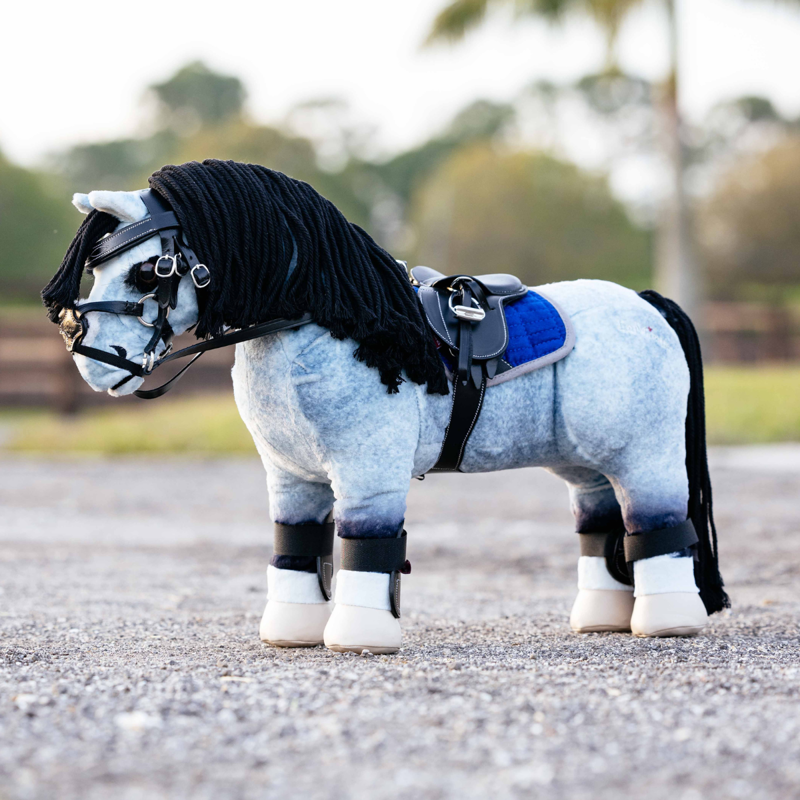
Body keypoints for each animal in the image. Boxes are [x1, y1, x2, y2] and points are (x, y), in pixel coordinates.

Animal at [42, 159, 727, 654]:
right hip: (585, 463)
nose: (92, 360)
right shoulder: (290, 477)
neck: (328, 320)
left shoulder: (368, 472)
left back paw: (666, 621)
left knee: (657, 524)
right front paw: (292, 632)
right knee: (601, 523)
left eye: (148, 272)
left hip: (645, 455)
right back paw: (602, 620)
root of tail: (645, 303)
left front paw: (358, 638)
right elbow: (296, 544)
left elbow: (364, 546)